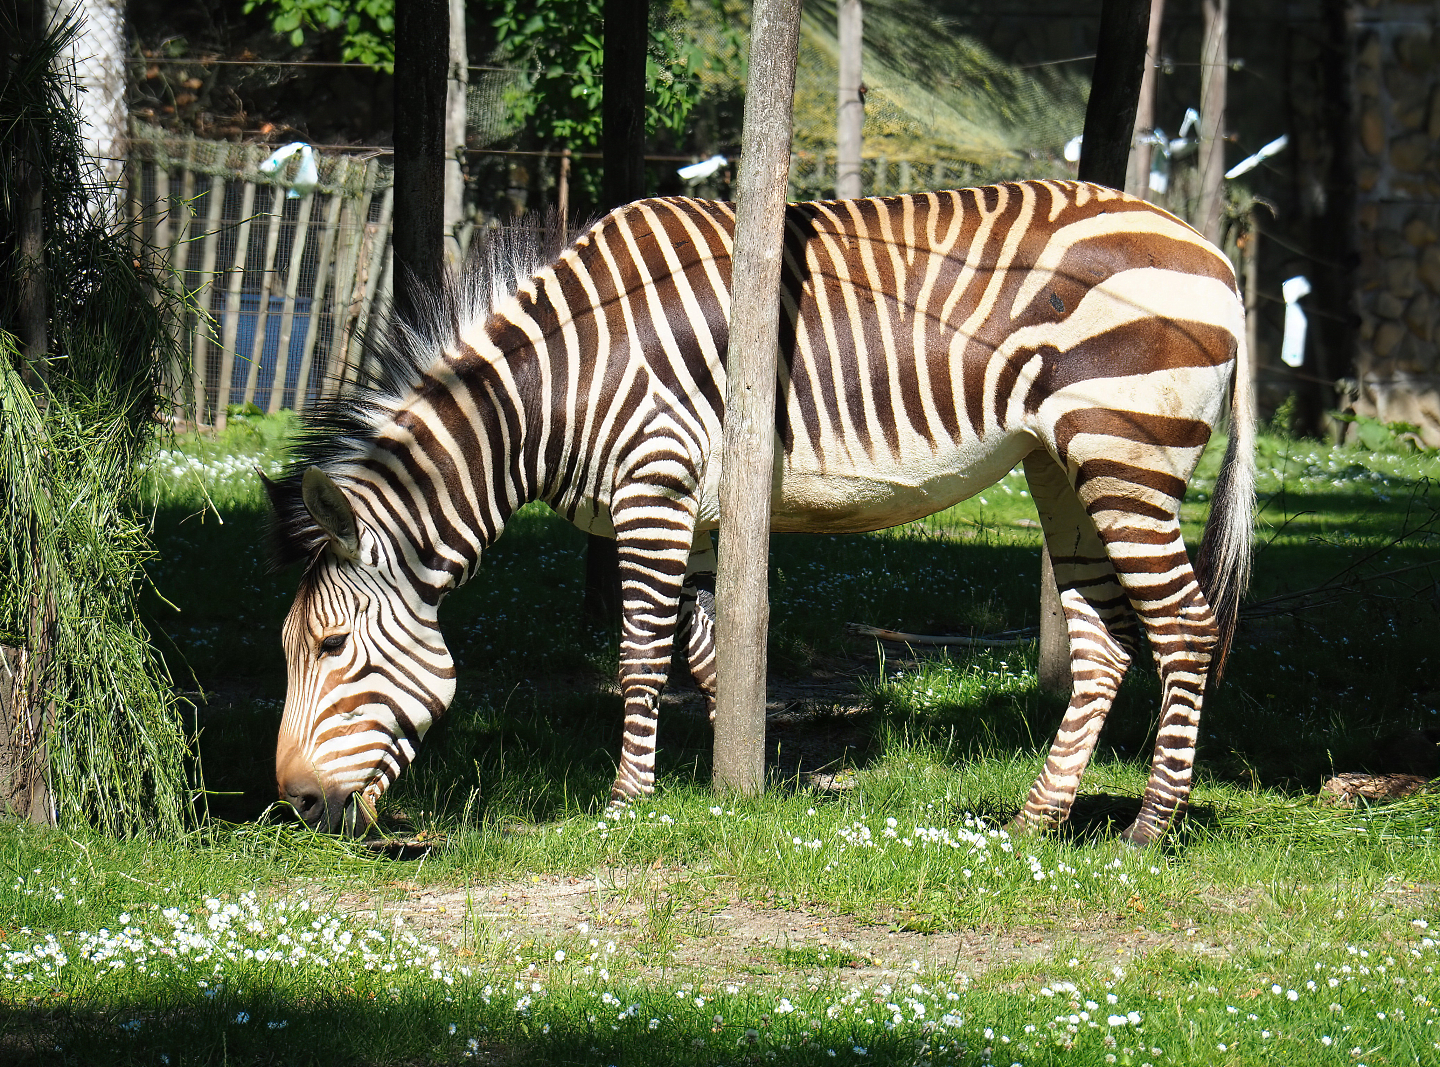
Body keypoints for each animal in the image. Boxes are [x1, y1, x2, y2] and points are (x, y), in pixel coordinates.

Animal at [266, 180, 1254, 845]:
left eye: (331, 647)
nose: (296, 804)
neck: (554, 388)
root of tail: (1213, 251)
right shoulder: (700, 519)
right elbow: (708, 656)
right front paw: (753, 781)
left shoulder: (654, 487)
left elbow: (638, 658)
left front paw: (626, 803)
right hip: (1062, 465)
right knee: (1108, 642)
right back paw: (1037, 818)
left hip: (1123, 447)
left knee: (1186, 628)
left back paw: (1151, 826)